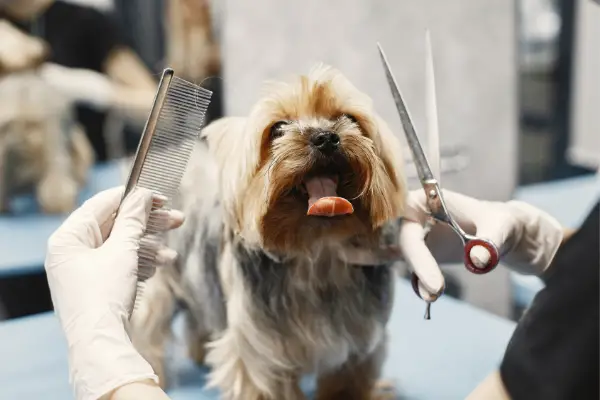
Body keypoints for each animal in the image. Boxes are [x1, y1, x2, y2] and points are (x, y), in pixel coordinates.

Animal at [133, 65, 408, 400]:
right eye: (278, 128)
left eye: (349, 118)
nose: (325, 138)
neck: (316, 250)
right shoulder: (259, 350)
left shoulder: (361, 344)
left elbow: (349, 382)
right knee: (148, 326)